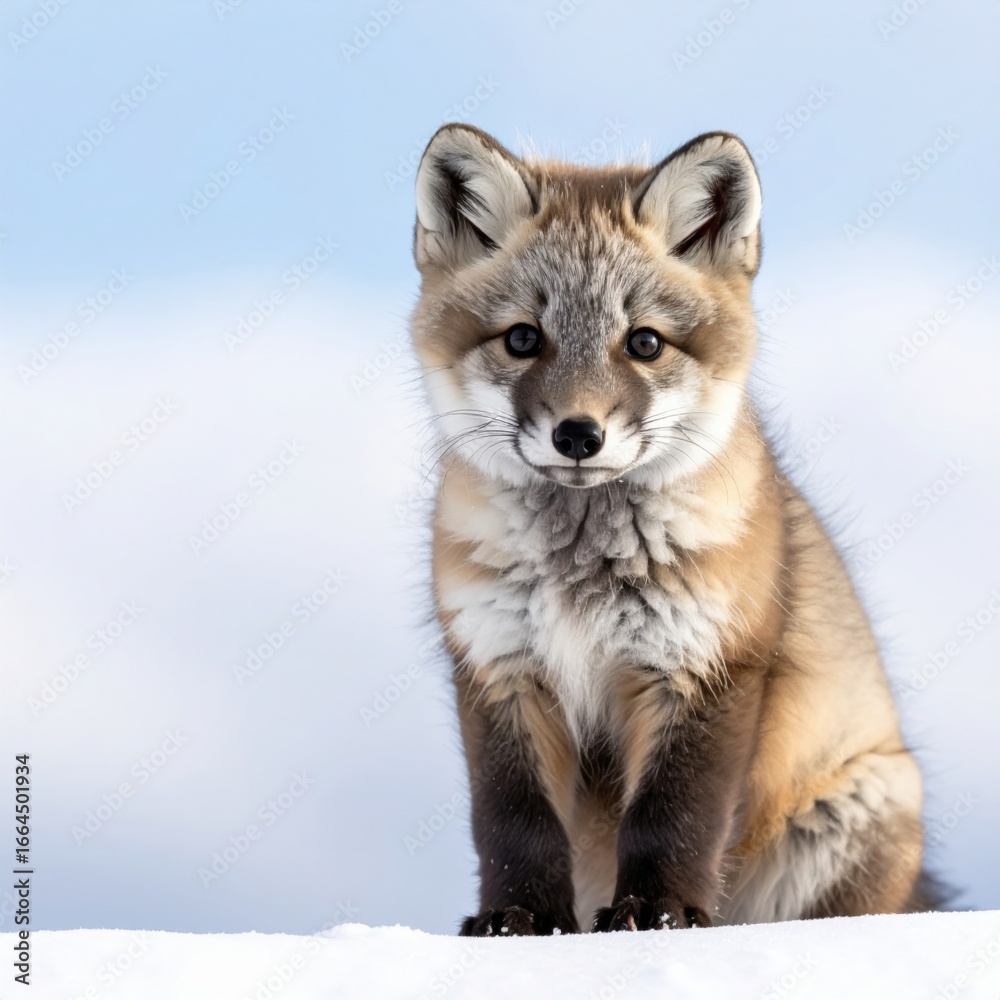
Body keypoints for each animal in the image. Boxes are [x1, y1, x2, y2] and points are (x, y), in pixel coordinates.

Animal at [409, 123, 935, 936]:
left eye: (645, 343)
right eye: (523, 339)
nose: (578, 435)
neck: (580, 575)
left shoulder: (705, 664)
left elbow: (673, 816)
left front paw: (658, 914)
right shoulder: (500, 667)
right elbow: (513, 822)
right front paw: (519, 918)